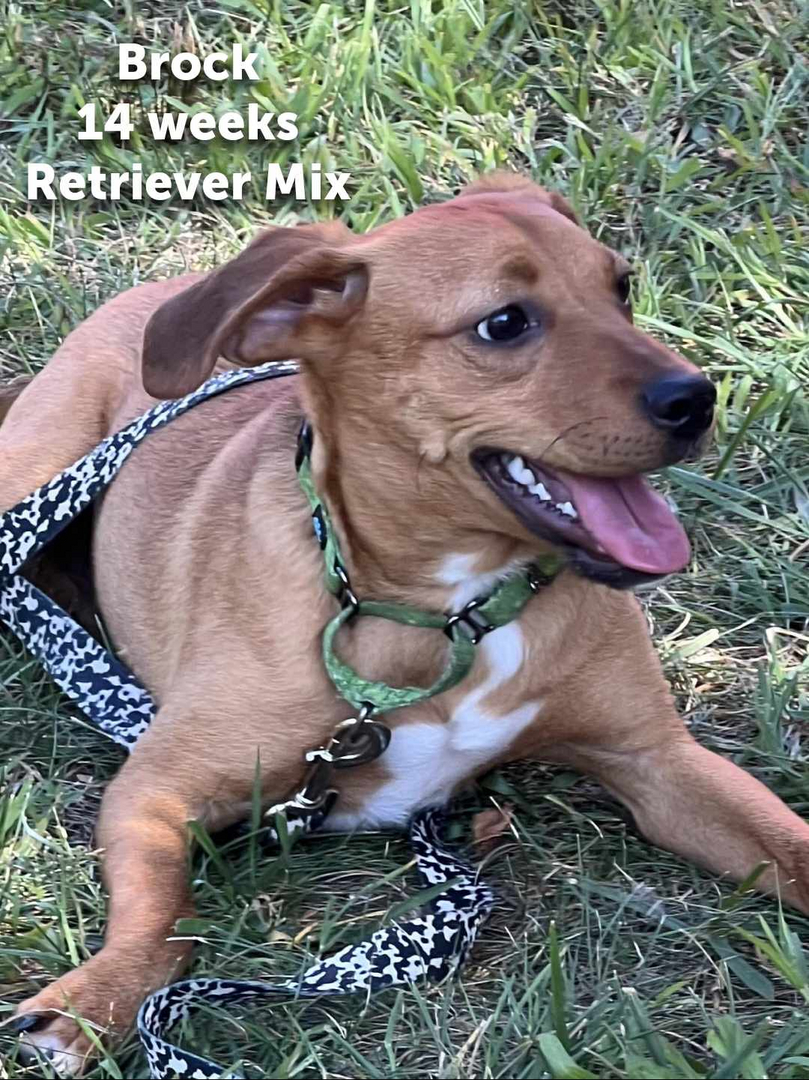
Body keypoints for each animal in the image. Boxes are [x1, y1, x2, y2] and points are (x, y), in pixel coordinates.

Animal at [1, 172, 807, 1075]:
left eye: (620, 287)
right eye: (504, 322)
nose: (696, 399)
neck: (449, 617)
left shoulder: (656, 762)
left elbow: (790, 844)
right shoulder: (154, 790)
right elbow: (164, 916)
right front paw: (99, 996)